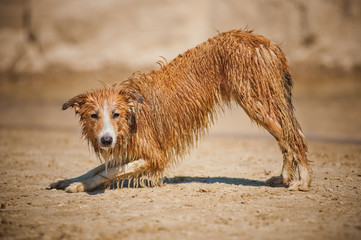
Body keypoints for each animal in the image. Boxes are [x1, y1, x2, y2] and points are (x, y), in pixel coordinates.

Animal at [49, 28, 310, 193]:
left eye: (116, 114)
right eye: (94, 115)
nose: (105, 140)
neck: (131, 116)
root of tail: (265, 42)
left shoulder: (155, 156)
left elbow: (107, 173)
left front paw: (78, 186)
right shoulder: (128, 149)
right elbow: (95, 170)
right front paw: (68, 181)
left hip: (256, 103)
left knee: (295, 137)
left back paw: (303, 182)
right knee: (287, 139)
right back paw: (283, 178)